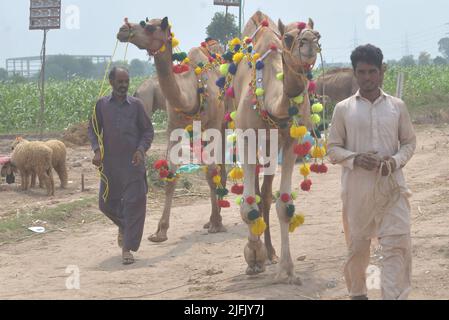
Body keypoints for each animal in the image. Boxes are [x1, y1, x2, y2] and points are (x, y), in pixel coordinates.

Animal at [116, 17, 228, 241]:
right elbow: (171, 175)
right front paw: (160, 231)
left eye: (149, 26)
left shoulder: (213, 123)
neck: (193, 90)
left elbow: (211, 172)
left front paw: (216, 223)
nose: (122, 29)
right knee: (220, 167)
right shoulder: (174, 127)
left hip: (227, 121)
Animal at [226, 10, 324, 280]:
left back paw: (270, 253)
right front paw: (253, 256)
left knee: (267, 193)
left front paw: (287, 268)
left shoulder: (291, 140)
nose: (309, 42)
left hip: (272, 145)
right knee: (258, 194)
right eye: (288, 38)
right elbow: (248, 204)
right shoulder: (246, 136)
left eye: (318, 33)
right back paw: (261, 253)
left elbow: (284, 205)